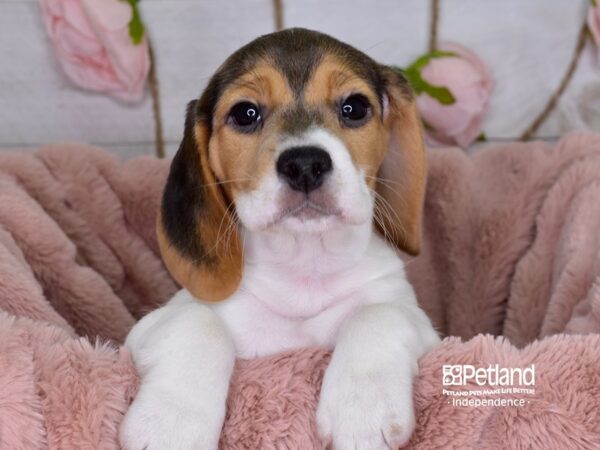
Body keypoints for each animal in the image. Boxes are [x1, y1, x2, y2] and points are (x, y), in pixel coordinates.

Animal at [119, 28, 438, 450]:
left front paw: (362, 409)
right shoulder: (149, 325)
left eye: (354, 107)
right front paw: (171, 423)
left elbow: (378, 314)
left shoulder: (418, 321)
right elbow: (198, 323)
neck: (304, 264)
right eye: (246, 113)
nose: (305, 164)